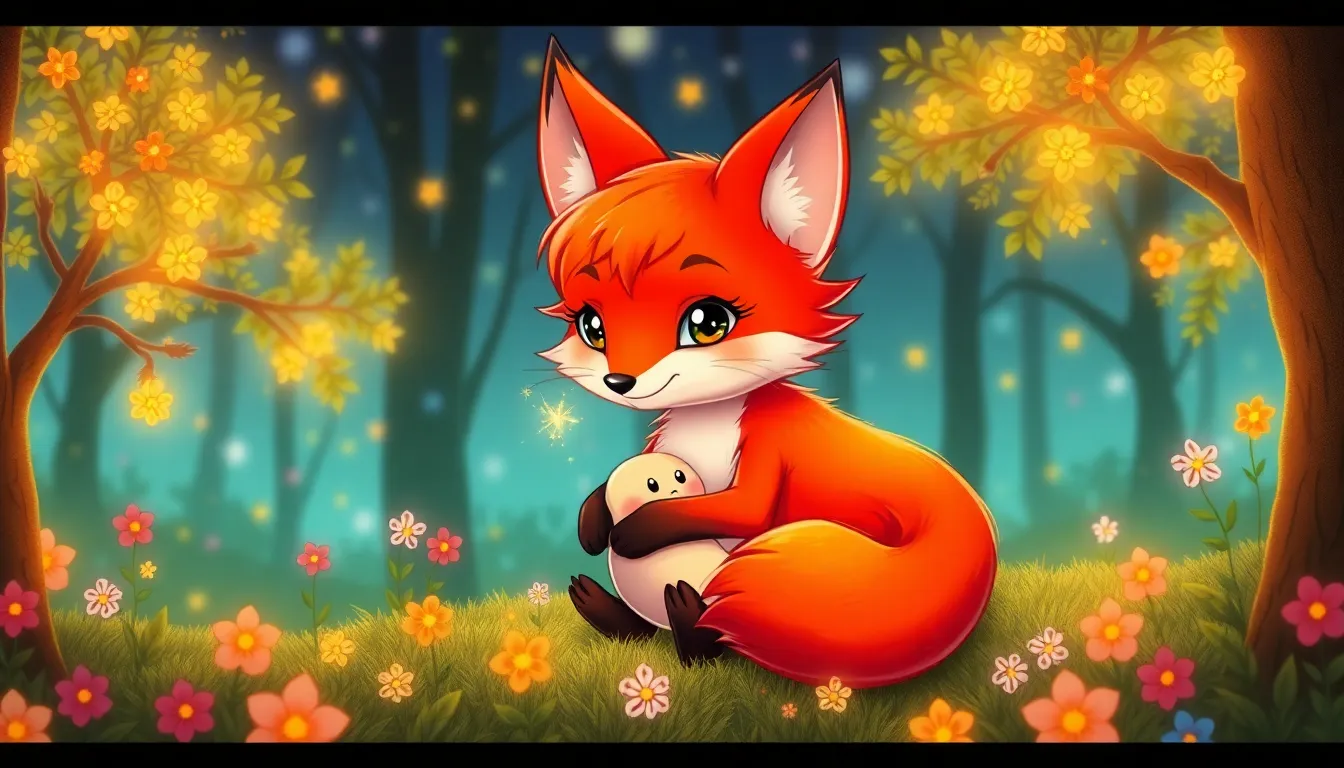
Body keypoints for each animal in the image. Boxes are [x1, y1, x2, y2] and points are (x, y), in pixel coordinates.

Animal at [534, 36, 999, 690]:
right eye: (591, 326)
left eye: (707, 323)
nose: (619, 381)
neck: (705, 424)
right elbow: (606, 494)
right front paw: (593, 519)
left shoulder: (766, 452)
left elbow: (736, 508)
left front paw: (635, 528)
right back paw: (606, 609)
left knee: (706, 631)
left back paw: (684, 618)